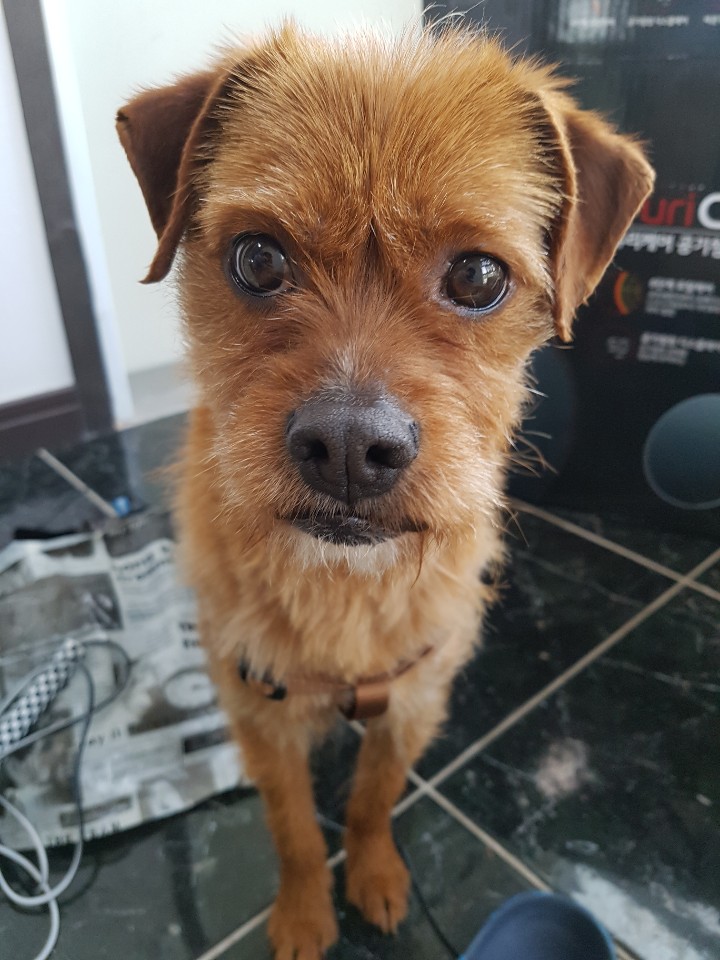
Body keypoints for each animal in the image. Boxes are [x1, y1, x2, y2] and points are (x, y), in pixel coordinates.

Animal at [117, 24, 653, 959]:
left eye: (478, 276)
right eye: (257, 257)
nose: (346, 452)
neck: (345, 591)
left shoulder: (412, 705)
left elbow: (371, 802)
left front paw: (374, 876)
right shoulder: (259, 721)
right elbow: (295, 830)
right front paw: (304, 914)